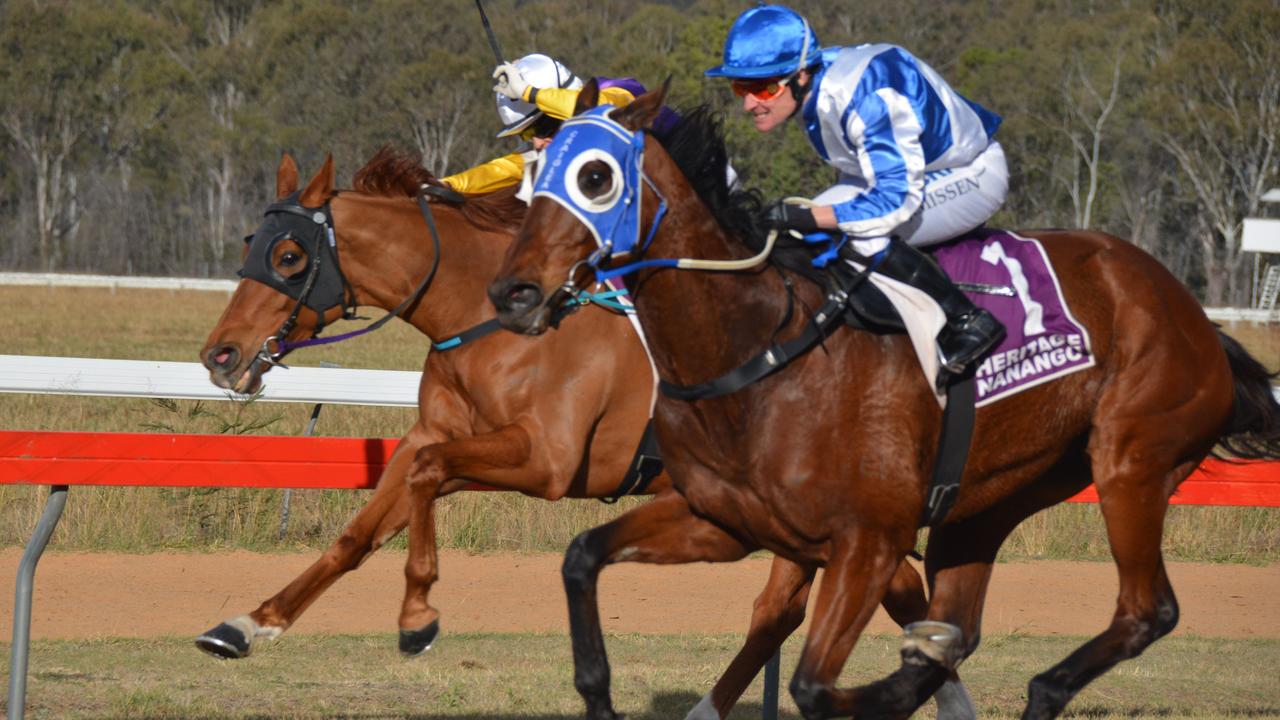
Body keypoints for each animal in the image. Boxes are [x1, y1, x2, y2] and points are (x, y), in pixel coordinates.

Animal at [194, 148, 967, 712]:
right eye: (251, 243)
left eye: (289, 257)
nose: (220, 355)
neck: (484, 321)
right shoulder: (432, 435)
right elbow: (361, 530)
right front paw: (249, 622)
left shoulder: (547, 462)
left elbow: (430, 474)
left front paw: (418, 615)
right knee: (859, 593)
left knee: (823, 598)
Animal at [486, 83, 1280, 717]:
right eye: (534, 178)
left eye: (595, 176)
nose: (513, 293)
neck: (755, 350)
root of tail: (1196, 318)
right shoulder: (723, 522)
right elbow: (582, 556)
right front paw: (597, 693)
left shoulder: (867, 542)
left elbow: (812, 686)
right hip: (989, 503)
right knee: (967, 622)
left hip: (1132, 463)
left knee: (1149, 610)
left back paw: (1034, 687)